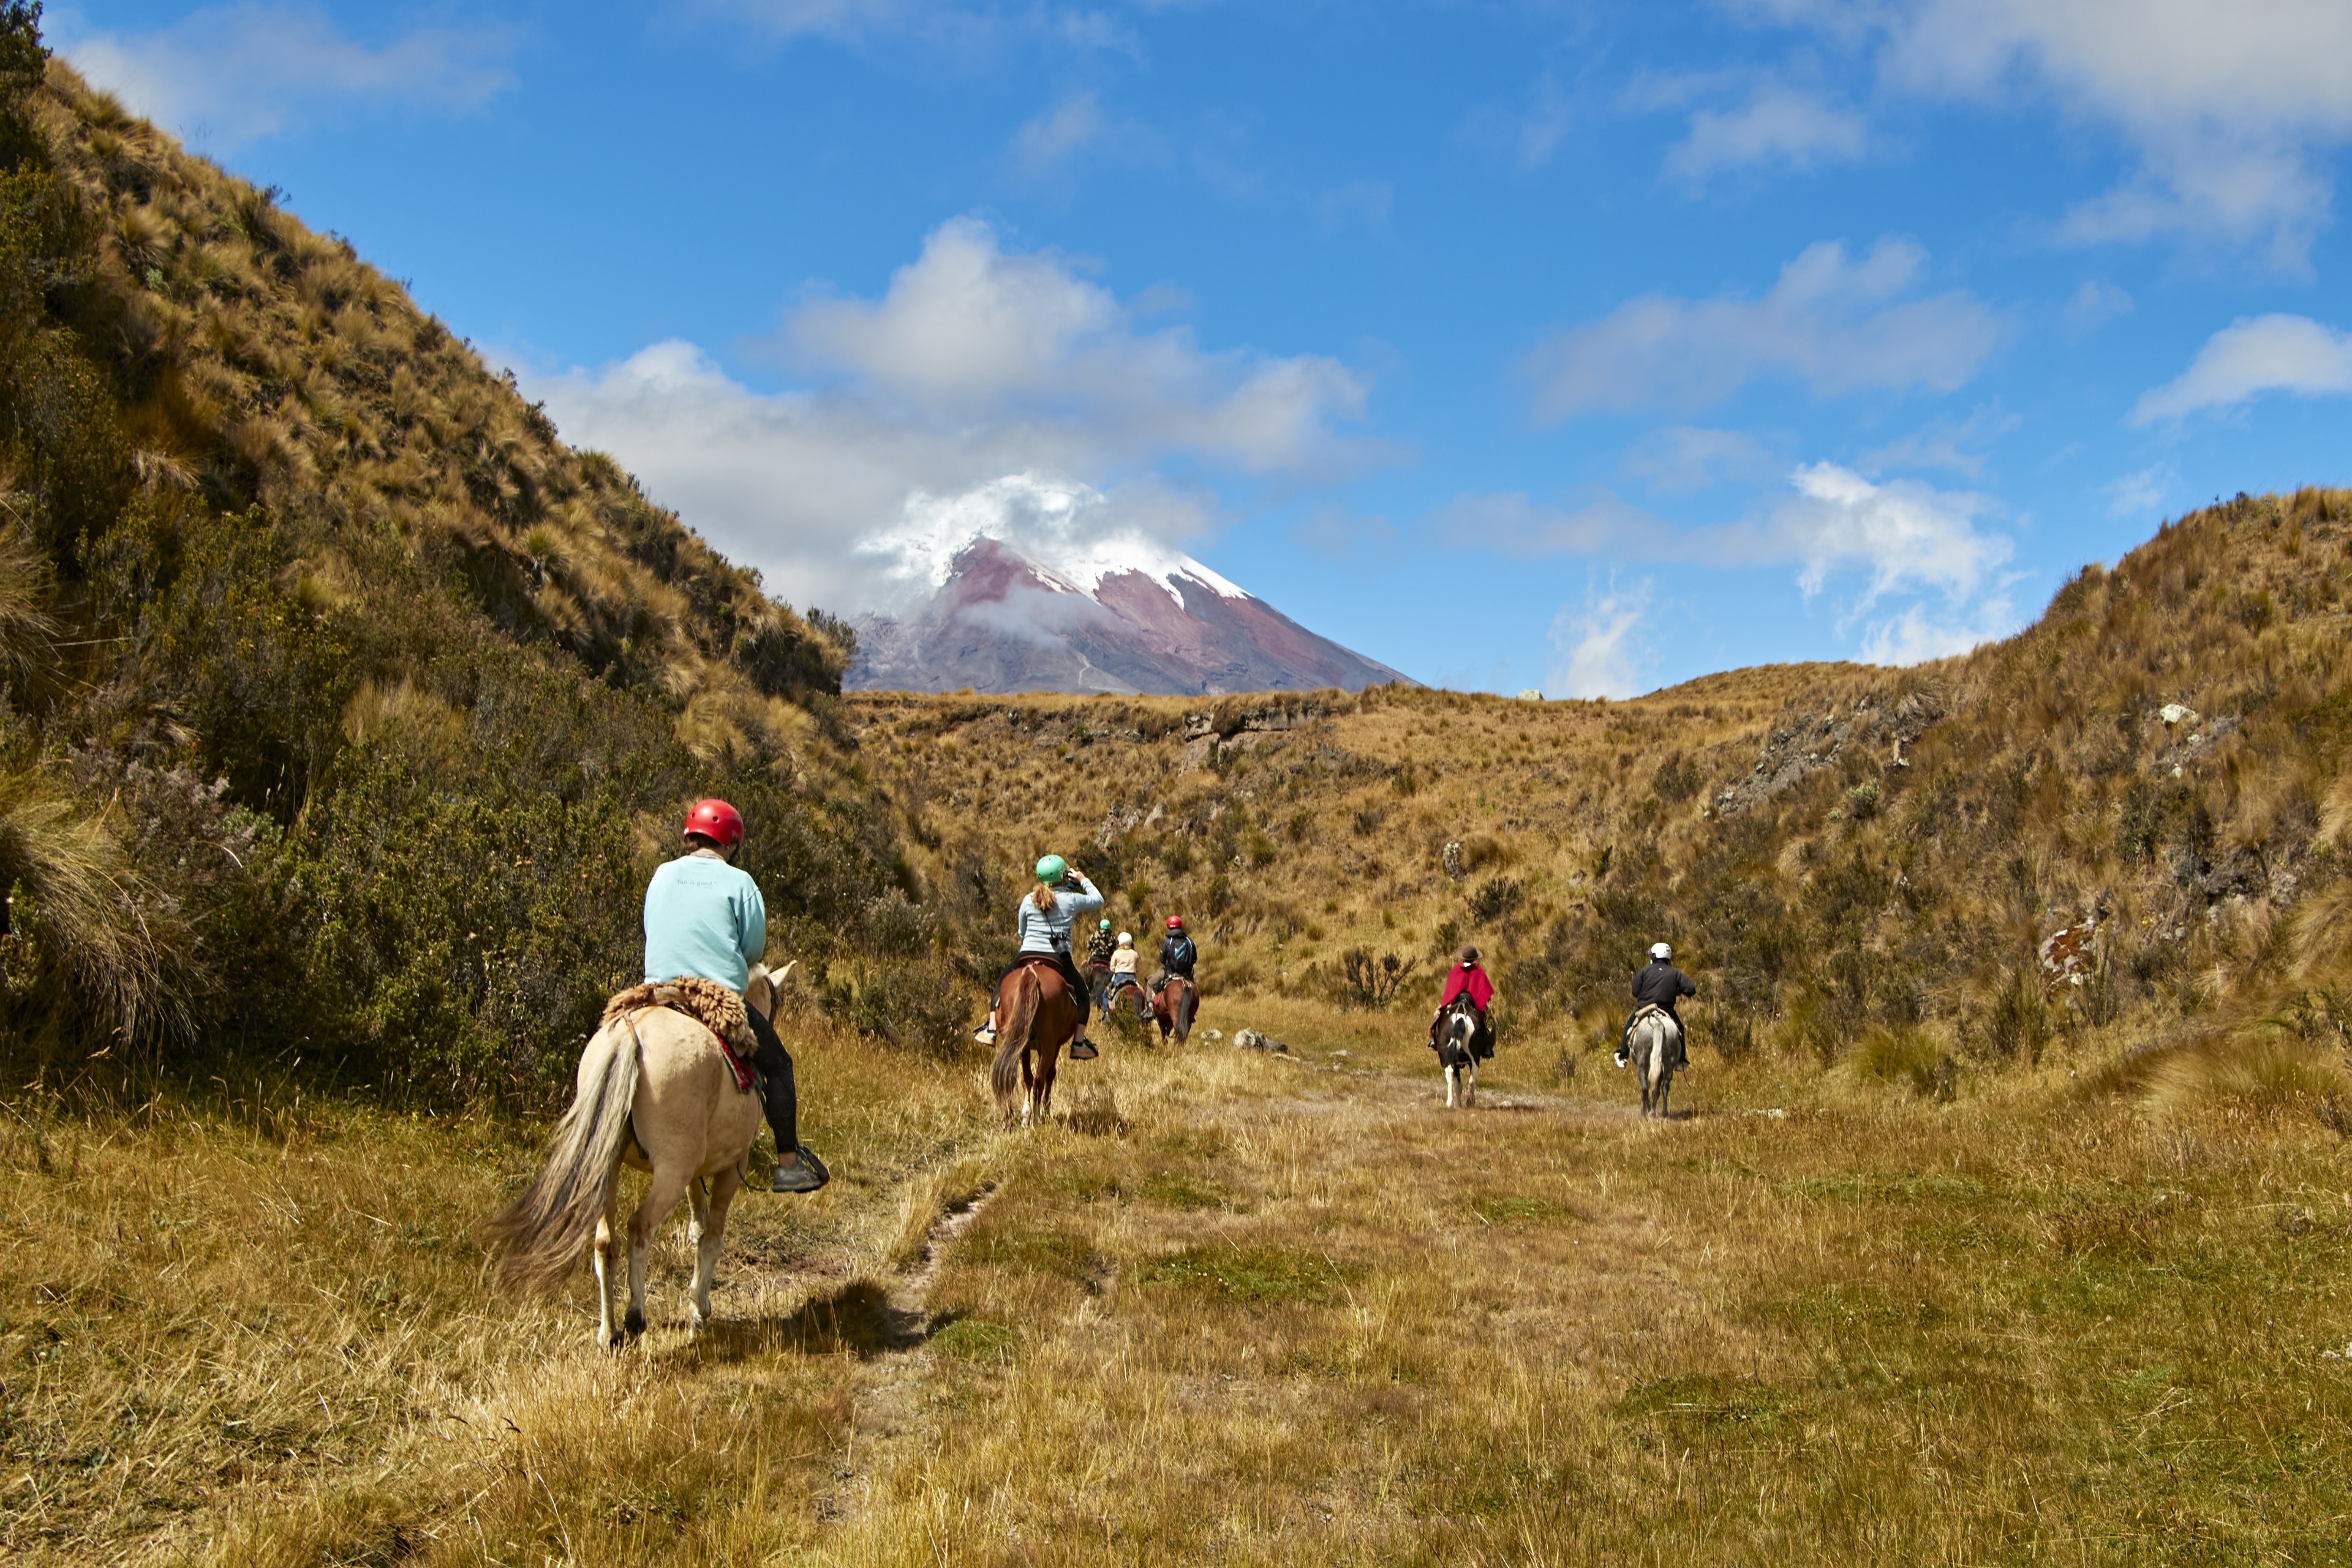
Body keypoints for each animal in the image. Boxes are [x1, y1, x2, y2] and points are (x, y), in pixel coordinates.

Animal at [486, 963, 790, 1344]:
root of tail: (630, 1036)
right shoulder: (732, 1167)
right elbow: (711, 1237)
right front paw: (699, 1312)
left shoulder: (694, 1175)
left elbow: (696, 1228)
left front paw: (698, 1303)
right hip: (671, 1171)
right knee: (640, 1226)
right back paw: (635, 1316)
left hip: (609, 1167)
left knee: (605, 1241)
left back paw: (608, 1332)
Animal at [987, 959, 1077, 1128]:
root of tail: (1031, 973)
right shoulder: (1054, 1046)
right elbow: (1050, 1075)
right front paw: (1045, 1110)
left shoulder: (1026, 1048)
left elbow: (1026, 1078)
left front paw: (1026, 1115)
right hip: (1048, 1045)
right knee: (1040, 1078)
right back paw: (1036, 1118)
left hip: (1019, 1043)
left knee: (1022, 1077)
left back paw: (1019, 1117)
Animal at [1420, 1001, 1477, 1109]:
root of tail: (1461, 1017)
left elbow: (1458, 1084)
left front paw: (1459, 1104)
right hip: (1474, 1058)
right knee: (1472, 1079)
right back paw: (1469, 1102)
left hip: (1446, 1058)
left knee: (1450, 1074)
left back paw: (1451, 1103)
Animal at [1627, 1006, 1684, 1114]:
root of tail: (1658, 1024)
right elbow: (1656, 1090)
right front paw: (1652, 1109)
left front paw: (1647, 1107)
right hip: (1668, 1064)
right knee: (1665, 1087)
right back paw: (1662, 1112)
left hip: (1643, 1064)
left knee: (1644, 1088)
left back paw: (1645, 1113)